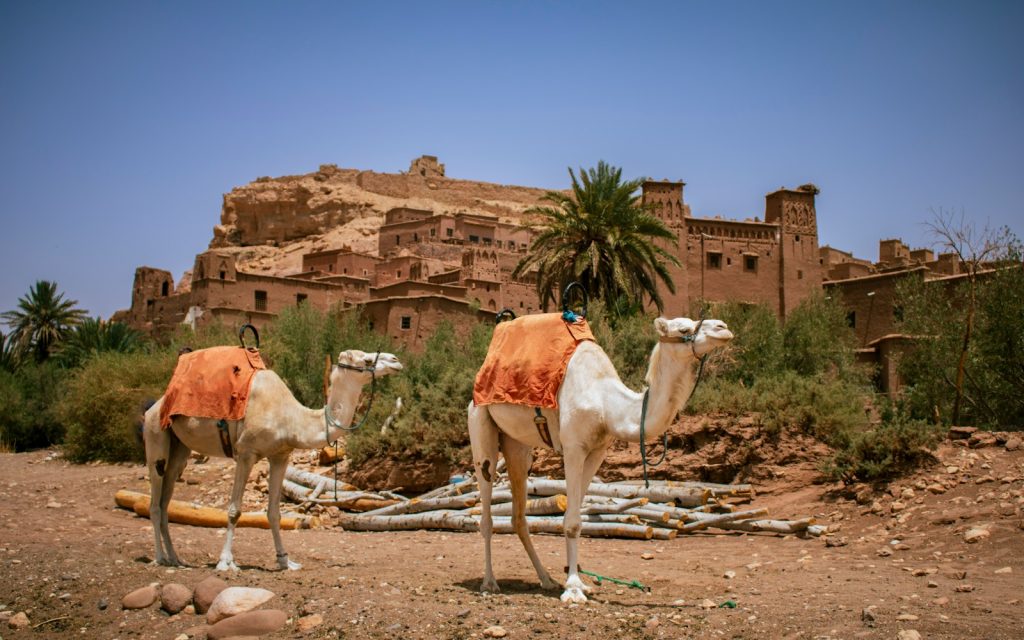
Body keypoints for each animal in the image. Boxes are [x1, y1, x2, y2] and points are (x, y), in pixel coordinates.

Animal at [143, 349, 402, 571]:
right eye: (366, 360)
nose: (396, 360)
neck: (291, 418)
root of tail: (154, 406)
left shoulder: (280, 456)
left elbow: (274, 512)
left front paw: (286, 561)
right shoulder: (245, 453)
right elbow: (234, 510)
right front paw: (226, 562)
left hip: (180, 448)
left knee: (166, 498)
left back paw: (176, 558)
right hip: (156, 434)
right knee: (155, 500)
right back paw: (160, 557)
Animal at [468, 316, 733, 602]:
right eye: (684, 329)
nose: (723, 328)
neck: (607, 404)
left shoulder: (597, 451)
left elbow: (576, 516)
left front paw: (578, 583)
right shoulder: (573, 447)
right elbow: (571, 521)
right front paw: (573, 589)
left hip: (517, 444)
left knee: (519, 516)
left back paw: (546, 579)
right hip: (480, 425)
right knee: (486, 507)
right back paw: (489, 582)